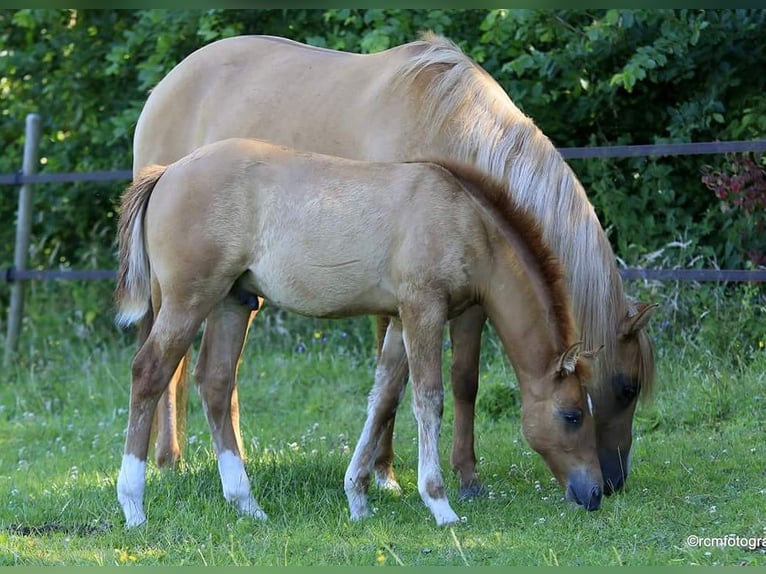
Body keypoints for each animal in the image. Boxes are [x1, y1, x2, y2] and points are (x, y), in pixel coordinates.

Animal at [134, 33, 660, 498]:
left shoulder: (472, 297)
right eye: (627, 387)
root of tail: (168, 83)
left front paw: (467, 476)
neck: (448, 126)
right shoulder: (397, 295)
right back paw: (168, 459)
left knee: (219, 377)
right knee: (167, 364)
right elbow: (396, 383)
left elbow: (463, 380)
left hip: (239, 293)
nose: (614, 482)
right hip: (175, 291)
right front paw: (385, 472)